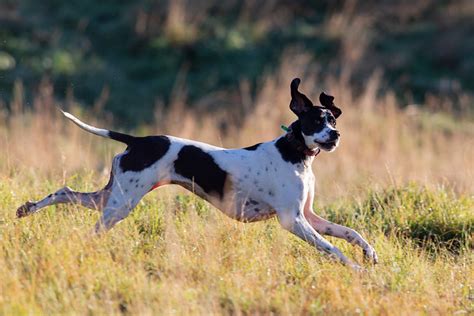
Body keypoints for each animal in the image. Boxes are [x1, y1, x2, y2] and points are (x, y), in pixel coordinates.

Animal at [16, 79, 378, 270]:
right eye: (316, 121)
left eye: (334, 119)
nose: (335, 135)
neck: (295, 152)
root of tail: (138, 140)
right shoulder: (293, 220)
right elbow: (331, 249)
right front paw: (356, 267)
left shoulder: (310, 216)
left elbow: (350, 233)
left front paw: (369, 254)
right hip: (119, 204)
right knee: (90, 228)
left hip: (110, 197)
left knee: (64, 192)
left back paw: (27, 208)